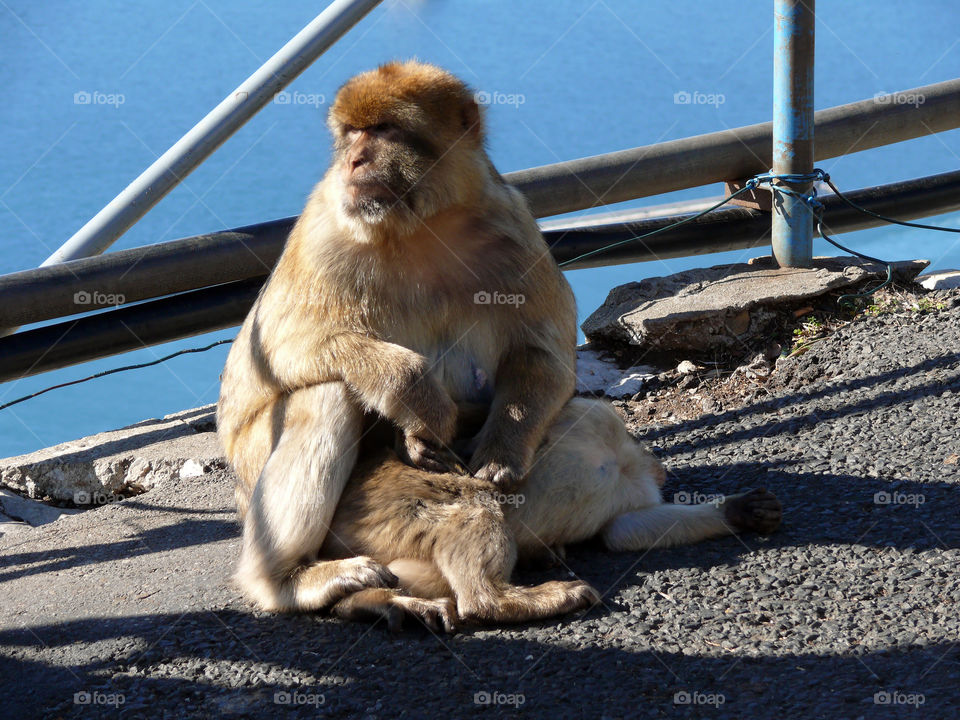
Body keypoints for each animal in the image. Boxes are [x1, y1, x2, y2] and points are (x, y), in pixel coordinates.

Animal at [218, 60, 780, 624]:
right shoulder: (326, 226)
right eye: (350, 134)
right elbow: (277, 350)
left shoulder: (512, 224)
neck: (423, 224)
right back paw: (293, 581)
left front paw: (500, 453)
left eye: (383, 130)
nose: (354, 160)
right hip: (258, 470)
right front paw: (418, 399)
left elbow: (541, 352)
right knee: (327, 393)